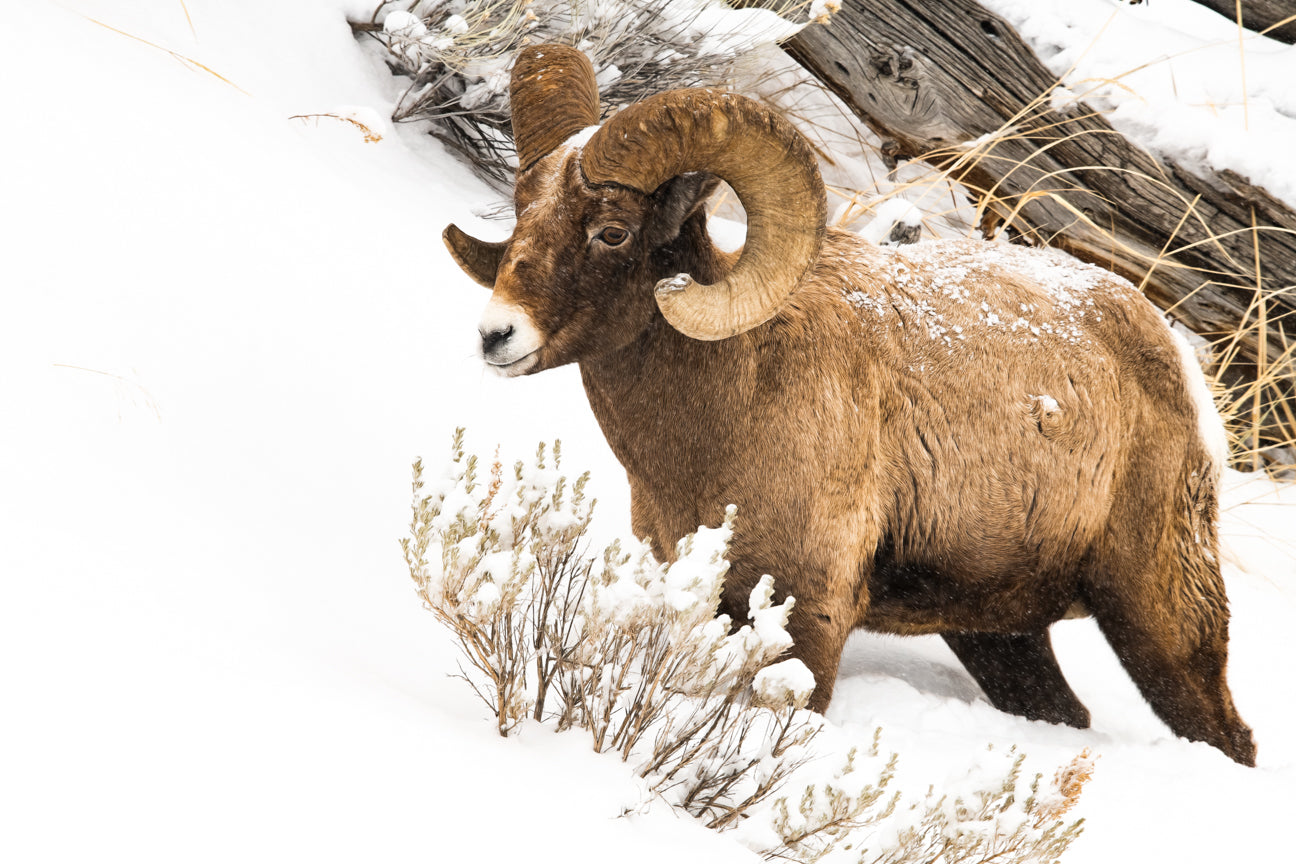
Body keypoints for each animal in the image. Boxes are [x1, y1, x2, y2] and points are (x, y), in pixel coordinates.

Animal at [443, 45, 1254, 761]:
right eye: (523, 212)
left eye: (611, 232)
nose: (495, 335)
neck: (726, 407)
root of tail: (1176, 361)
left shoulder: (811, 618)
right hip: (1001, 635)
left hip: (1160, 612)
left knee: (1225, 735)